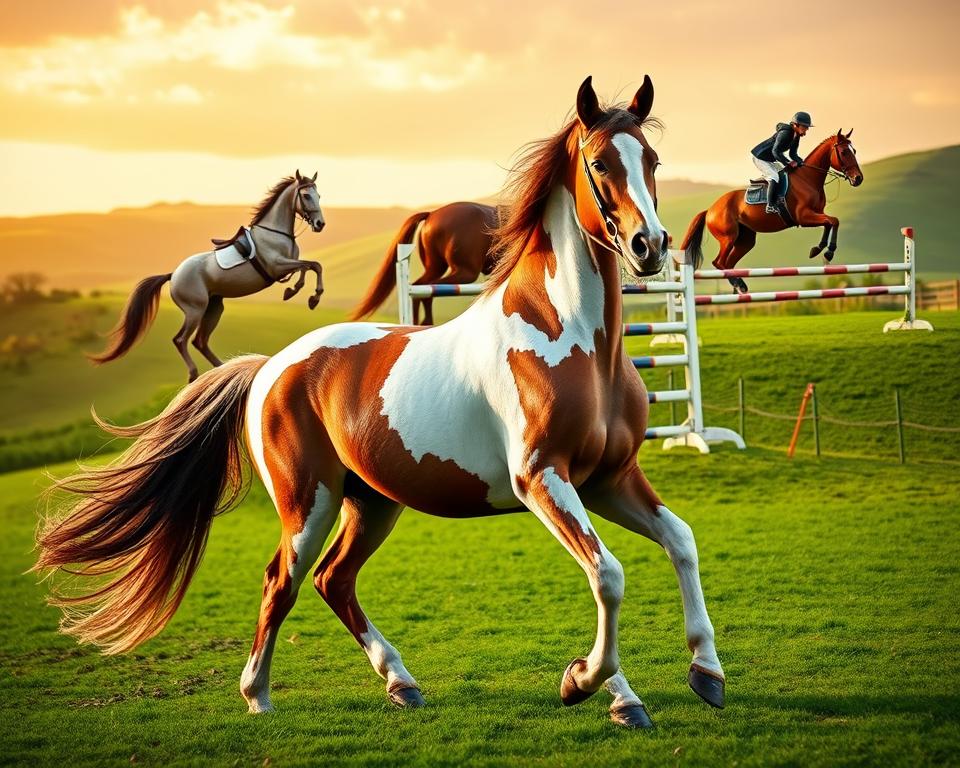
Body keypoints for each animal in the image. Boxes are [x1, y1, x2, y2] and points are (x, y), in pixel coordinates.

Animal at [89, 171, 327, 381]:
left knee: (200, 341)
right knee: (181, 340)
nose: (319, 224)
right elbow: (313, 265)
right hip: (195, 309)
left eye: (319, 195)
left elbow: (308, 266)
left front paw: (296, 292)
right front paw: (311, 296)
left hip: (214, 308)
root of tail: (173, 275)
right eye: (306, 195)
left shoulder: (287, 264)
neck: (275, 232)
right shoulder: (277, 266)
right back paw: (195, 375)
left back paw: (224, 372)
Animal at [351, 201, 500, 325]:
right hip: (465, 272)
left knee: (420, 287)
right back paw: (425, 322)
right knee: (429, 288)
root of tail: (431, 214)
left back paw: (419, 323)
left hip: (435, 268)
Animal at [681, 131, 864, 293]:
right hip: (728, 237)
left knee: (729, 263)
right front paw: (828, 252)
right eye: (844, 152)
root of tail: (710, 209)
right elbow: (833, 220)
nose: (858, 179)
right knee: (719, 263)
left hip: (745, 240)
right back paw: (738, 283)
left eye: (854, 151)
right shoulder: (804, 217)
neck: (808, 179)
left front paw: (818, 250)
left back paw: (740, 285)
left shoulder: (816, 214)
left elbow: (830, 222)